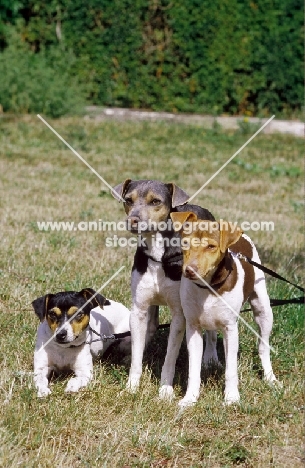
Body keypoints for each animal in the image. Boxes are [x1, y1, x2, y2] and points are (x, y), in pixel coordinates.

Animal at [110, 179, 215, 398]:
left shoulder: (179, 314)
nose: (133, 220)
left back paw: (210, 358)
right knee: (150, 327)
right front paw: (131, 386)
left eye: (155, 201)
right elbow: (137, 355)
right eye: (128, 200)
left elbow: (170, 356)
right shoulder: (139, 309)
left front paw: (166, 390)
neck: (158, 253)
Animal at [170, 212, 276, 406]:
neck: (208, 287)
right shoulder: (193, 327)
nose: (189, 270)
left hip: (263, 309)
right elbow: (193, 369)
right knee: (211, 336)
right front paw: (190, 398)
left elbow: (231, 369)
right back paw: (210, 359)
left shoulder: (230, 329)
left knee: (263, 346)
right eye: (185, 243)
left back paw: (270, 378)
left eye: (211, 246)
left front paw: (232, 397)